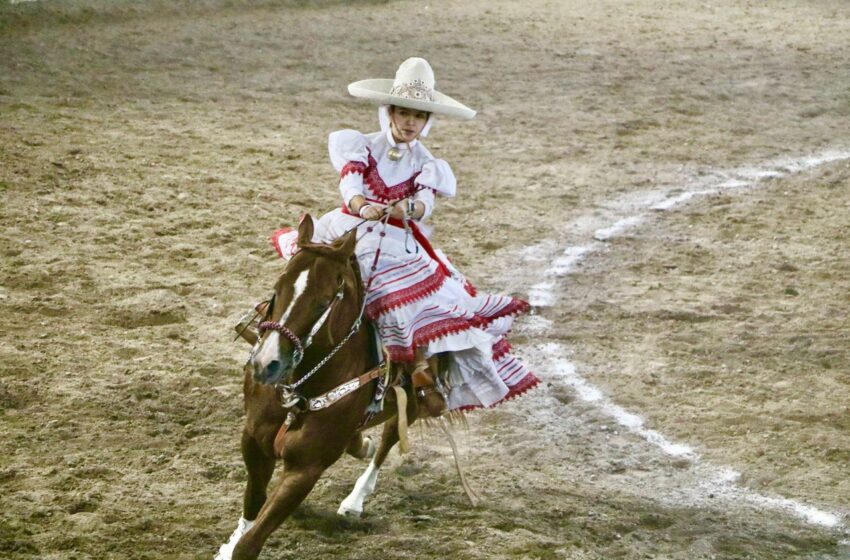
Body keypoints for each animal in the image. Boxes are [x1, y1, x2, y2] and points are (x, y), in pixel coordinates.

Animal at [214, 215, 422, 560]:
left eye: (323, 302)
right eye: (277, 289)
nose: (265, 364)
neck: (298, 389)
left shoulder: (306, 468)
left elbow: (251, 542)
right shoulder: (253, 440)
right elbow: (253, 504)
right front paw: (227, 546)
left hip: (421, 400)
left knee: (391, 435)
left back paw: (355, 500)